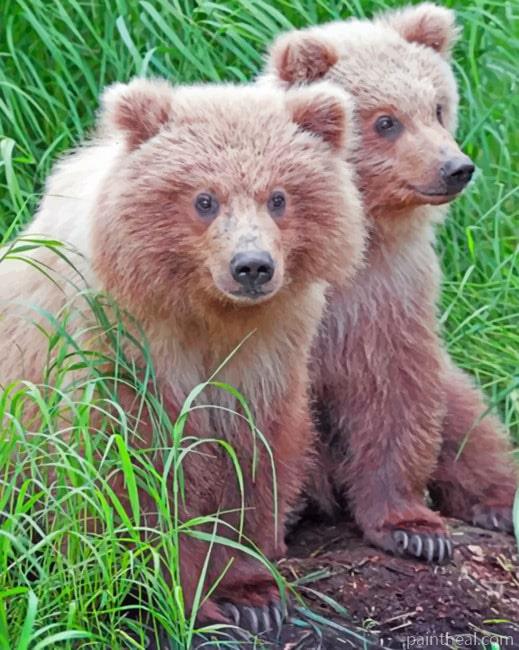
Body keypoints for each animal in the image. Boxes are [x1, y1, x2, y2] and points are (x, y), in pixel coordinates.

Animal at [0, 78, 366, 631]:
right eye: (205, 199)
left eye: (278, 197)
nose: (252, 266)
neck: (203, 312)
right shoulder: (124, 357)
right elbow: (143, 476)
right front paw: (180, 592)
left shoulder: (267, 356)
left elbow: (252, 462)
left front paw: (252, 593)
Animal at [260, 2, 518, 563]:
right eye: (386, 121)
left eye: (438, 106)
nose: (456, 167)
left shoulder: (390, 295)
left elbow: (398, 397)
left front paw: (413, 529)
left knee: (469, 421)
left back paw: (500, 504)